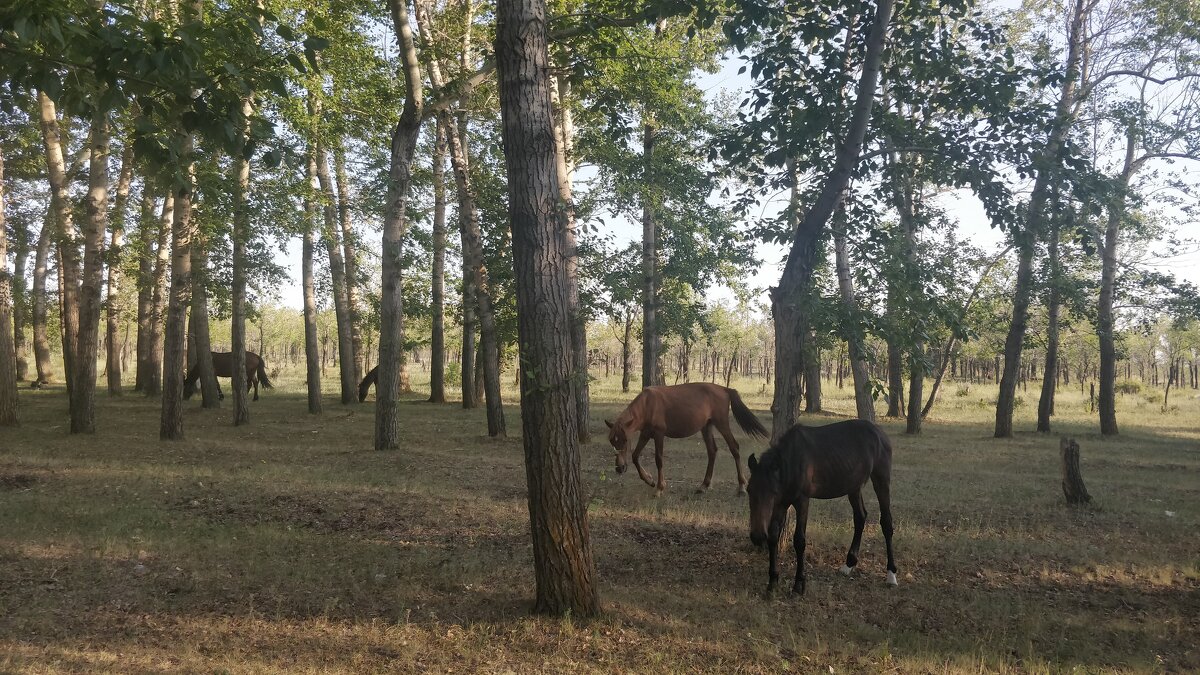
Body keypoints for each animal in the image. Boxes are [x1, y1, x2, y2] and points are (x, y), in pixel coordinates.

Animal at [600, 381, 768, 492]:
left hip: (721, 423)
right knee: (712, 451)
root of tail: (725, 389)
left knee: (734, 448)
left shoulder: (659, 434)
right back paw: (703, 486)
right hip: (706, 426)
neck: (648, 405)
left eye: (625, 440)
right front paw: (650, 480)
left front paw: (660, 488)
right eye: (612, 441)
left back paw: (741, 486)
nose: (620, 468)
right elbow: (635, 456)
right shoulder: (646, 434)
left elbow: (659, 459)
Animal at [744, 417, 897, 590]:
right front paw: (772, 582)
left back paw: (891, 574)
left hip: (881, 479)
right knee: (860, 517)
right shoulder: (781, 504)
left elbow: (799, 540)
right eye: (749, 490)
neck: (792, 462)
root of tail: (879, 432)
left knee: (886, 522)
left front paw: (799, 584)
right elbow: (773, 536)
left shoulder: (802, 501)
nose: (757, 536)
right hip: (853, 486)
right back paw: (848, 564)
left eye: (773, 492)